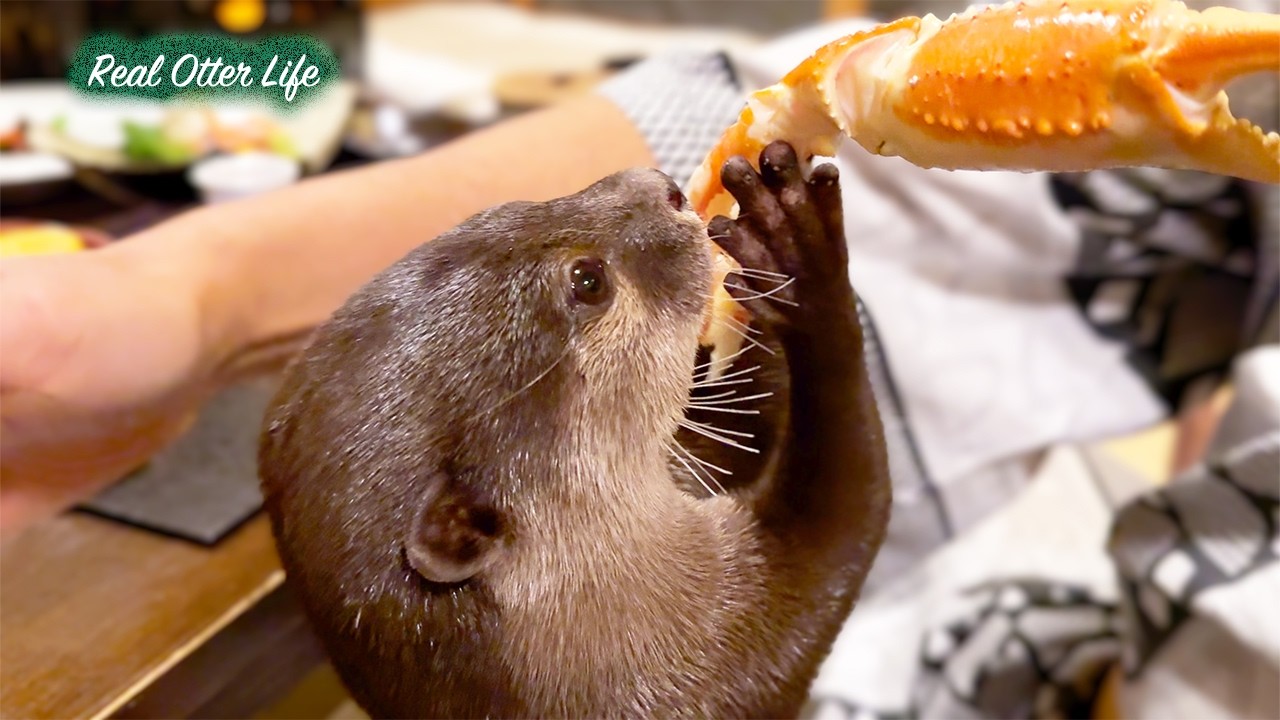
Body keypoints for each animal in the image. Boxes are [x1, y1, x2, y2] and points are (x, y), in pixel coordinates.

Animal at [258, 141, 891, 718]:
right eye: (587, 281)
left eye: (511, 208)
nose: (663, 185)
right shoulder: (737, 651)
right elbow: (843, 515)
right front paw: (799, 260)